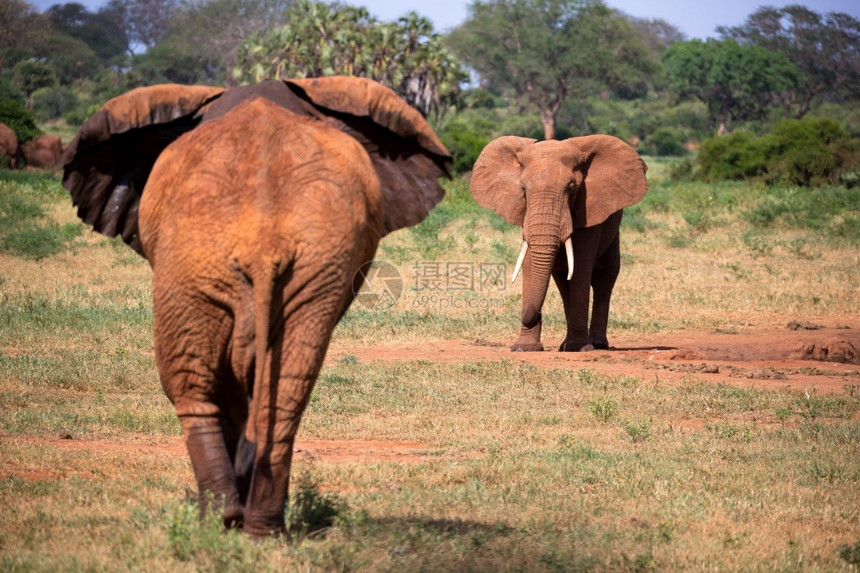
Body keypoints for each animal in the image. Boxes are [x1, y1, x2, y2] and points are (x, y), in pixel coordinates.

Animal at [61, 78, 454, 536]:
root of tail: (263, 240)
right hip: (304, 267)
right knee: (283, 391)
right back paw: (264, 528)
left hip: (191, 266)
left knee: (193, 383)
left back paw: (220, 517)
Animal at [470, 135, 644, 348]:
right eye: (523, 189)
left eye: (571, 188)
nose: (532, 317)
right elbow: (530, 263)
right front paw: (524, 348)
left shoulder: (587, 210)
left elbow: (580, 268)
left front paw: (580, 348)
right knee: (563, 280)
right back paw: (565, 345)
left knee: (605, 276)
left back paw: (596, 344)